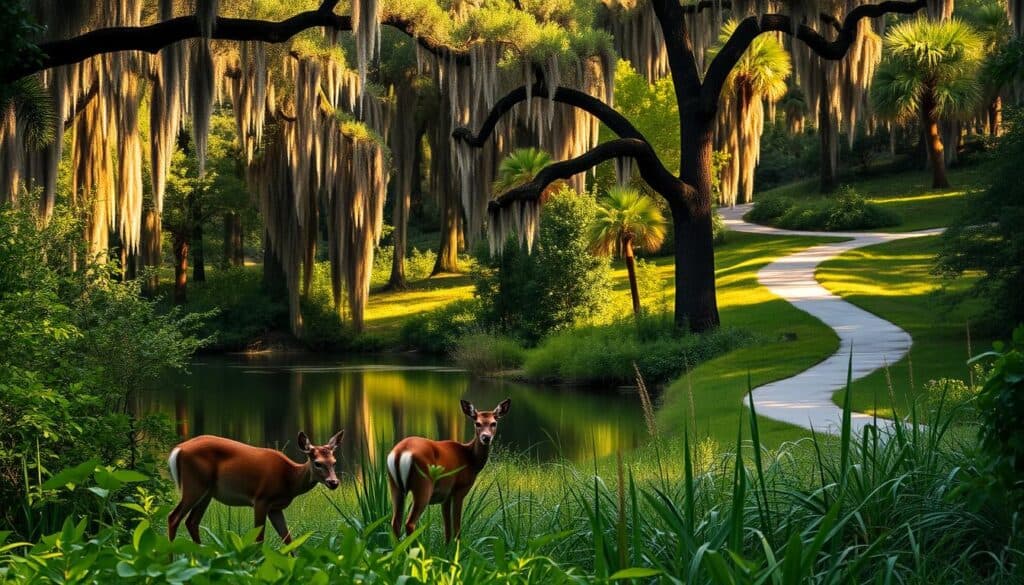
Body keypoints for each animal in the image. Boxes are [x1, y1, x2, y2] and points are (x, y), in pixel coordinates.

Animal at [165, 430, 344, 545]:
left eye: (334, 462)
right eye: (317, 463)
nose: (334, 482)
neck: (289, 479)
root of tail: (178, 449)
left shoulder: (275, 508)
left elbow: (288, 539)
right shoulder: (261, 500)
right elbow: (259, 539)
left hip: (206, 493)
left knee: (192, 522)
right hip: (194, 485)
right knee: (174, 517)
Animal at [385, 401, 512, 540]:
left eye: (494, 423)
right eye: (477, 423)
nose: (486, 437)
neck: (470, 459)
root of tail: (400, 452)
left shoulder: (445, 496)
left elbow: (447, 530)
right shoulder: (459, 489)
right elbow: (456, 529)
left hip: (395, 486)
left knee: (395, 523)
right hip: (423, 485)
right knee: (410, 523)